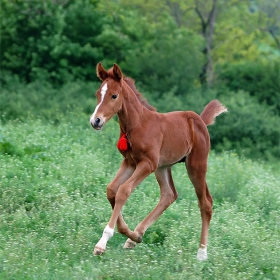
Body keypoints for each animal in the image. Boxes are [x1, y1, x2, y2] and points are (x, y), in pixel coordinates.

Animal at [89, 63, 228, 260]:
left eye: (114, 95)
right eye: (98, 93)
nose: (96, 121)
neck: (137, 125)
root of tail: (200, 120)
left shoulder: (147, 163)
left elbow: (123, 191)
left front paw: (102, 242)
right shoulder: (130, 162)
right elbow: (112, 190)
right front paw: (129, 233)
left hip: (195, 165)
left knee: (205, 202)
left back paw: (202, 253)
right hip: (163, 166)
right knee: (169, 195)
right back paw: (135, 237)